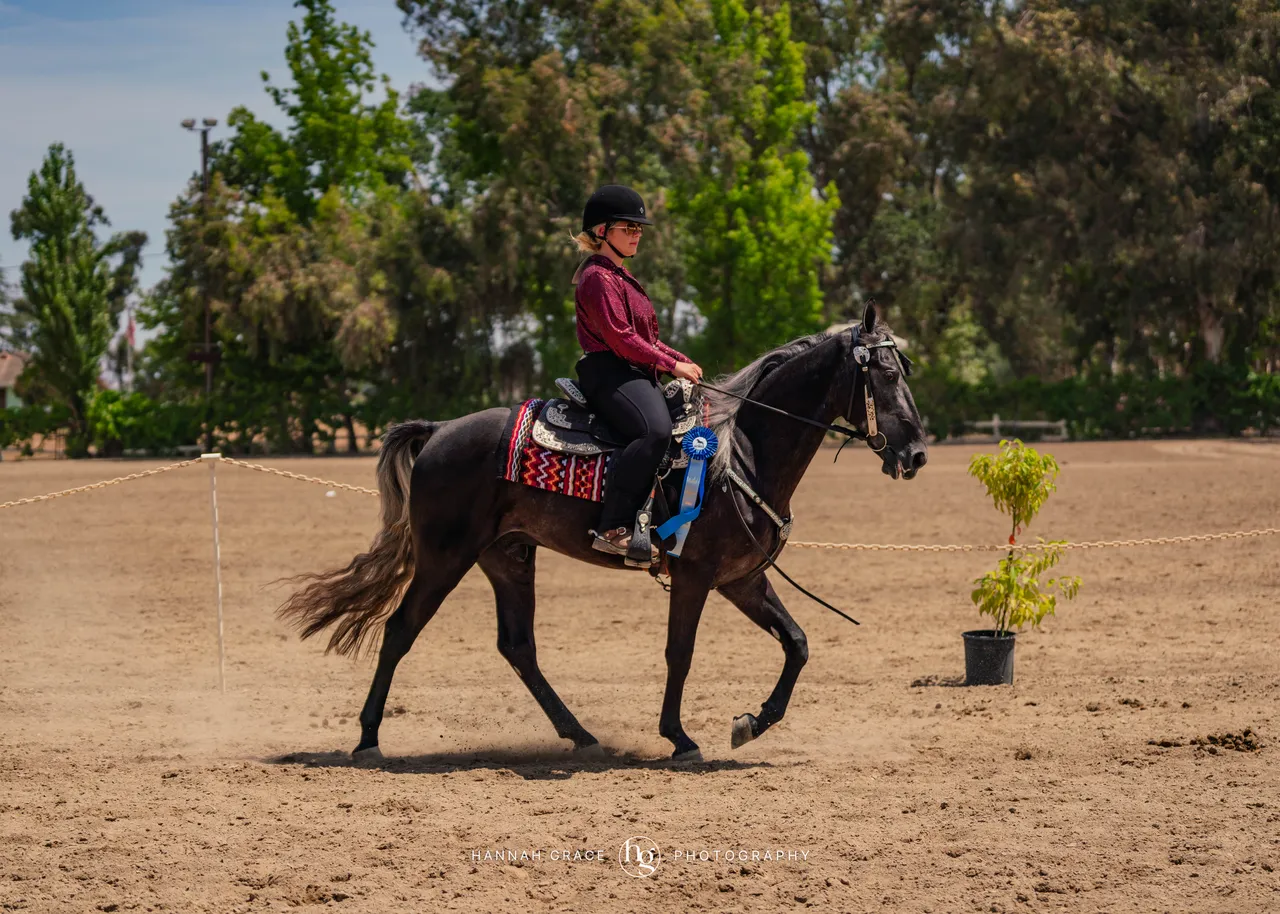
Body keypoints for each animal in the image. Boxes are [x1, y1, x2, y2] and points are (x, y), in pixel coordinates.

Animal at [278, 303, 930, 761]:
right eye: (884, 373)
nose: (918, 454)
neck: (738, 452)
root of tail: (439, 430)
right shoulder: (696, 576)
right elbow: (680, 653)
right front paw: (680, 737)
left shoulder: (740, 580)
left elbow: (797, 643)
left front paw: (751, 723)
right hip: (444, 558)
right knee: (400, 630)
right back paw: (367, 739)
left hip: (508, 557)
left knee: (518, 647)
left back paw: (580, 734)